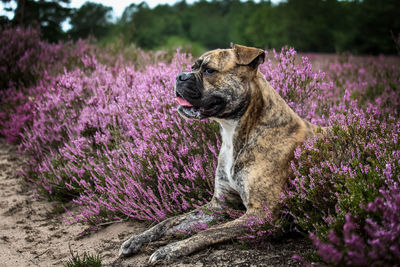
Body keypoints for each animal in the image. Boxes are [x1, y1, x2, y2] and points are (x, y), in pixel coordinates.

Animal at [119, 44, 324, 264]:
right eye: (193, 67)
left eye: (209, 70)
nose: (180, 76)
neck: (237, 132)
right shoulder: (218, 204)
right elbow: (168, 221)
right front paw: (137, 239)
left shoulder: (261, 212)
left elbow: (208, 232)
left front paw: (171, 249)